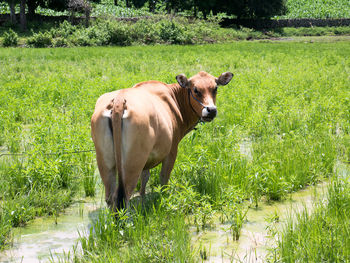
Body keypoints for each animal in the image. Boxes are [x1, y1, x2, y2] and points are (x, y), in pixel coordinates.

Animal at [90, 71, 232, 211]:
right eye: (195, 90)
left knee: (110, 198)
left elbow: (145, 177)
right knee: (123, 198)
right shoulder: (172, 150)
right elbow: (164, 178)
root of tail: (119, 100)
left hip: (105, 162)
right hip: (132, 163)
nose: (211, 110)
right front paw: (165, 199)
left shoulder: (147, 158)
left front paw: (143, 199)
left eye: (215, 88)